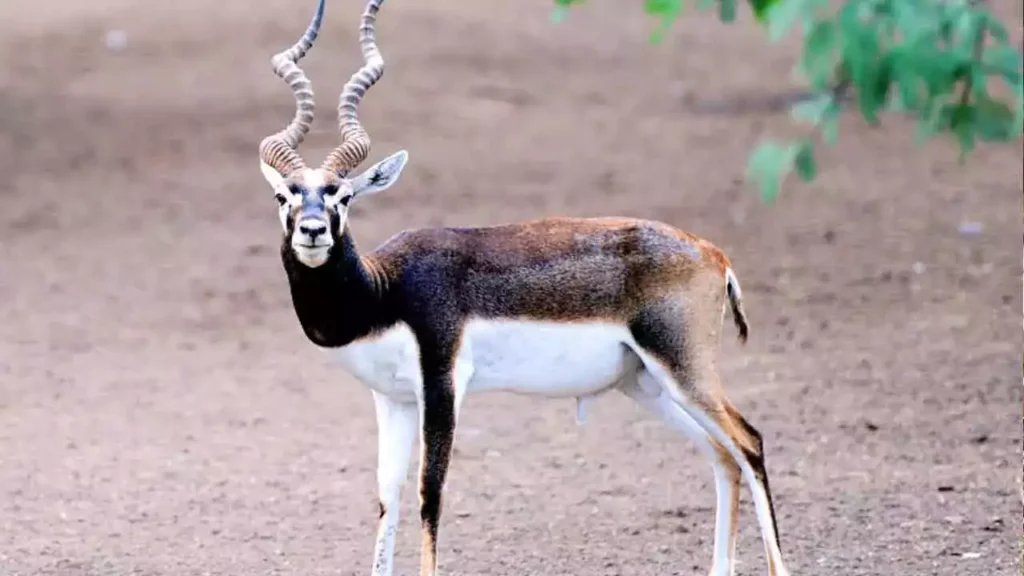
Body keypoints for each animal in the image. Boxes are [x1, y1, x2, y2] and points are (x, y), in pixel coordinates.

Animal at [256, 1, 790, 573]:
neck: (384, 291)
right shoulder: (392, 398)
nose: (313, 230)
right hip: (647, 383)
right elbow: (387, 497)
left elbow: (429, 494)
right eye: (285, 197)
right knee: (722, 457)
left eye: (344, 196)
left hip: (685, 370)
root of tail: (714, 254)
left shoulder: (442, 385)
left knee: (749, 443)